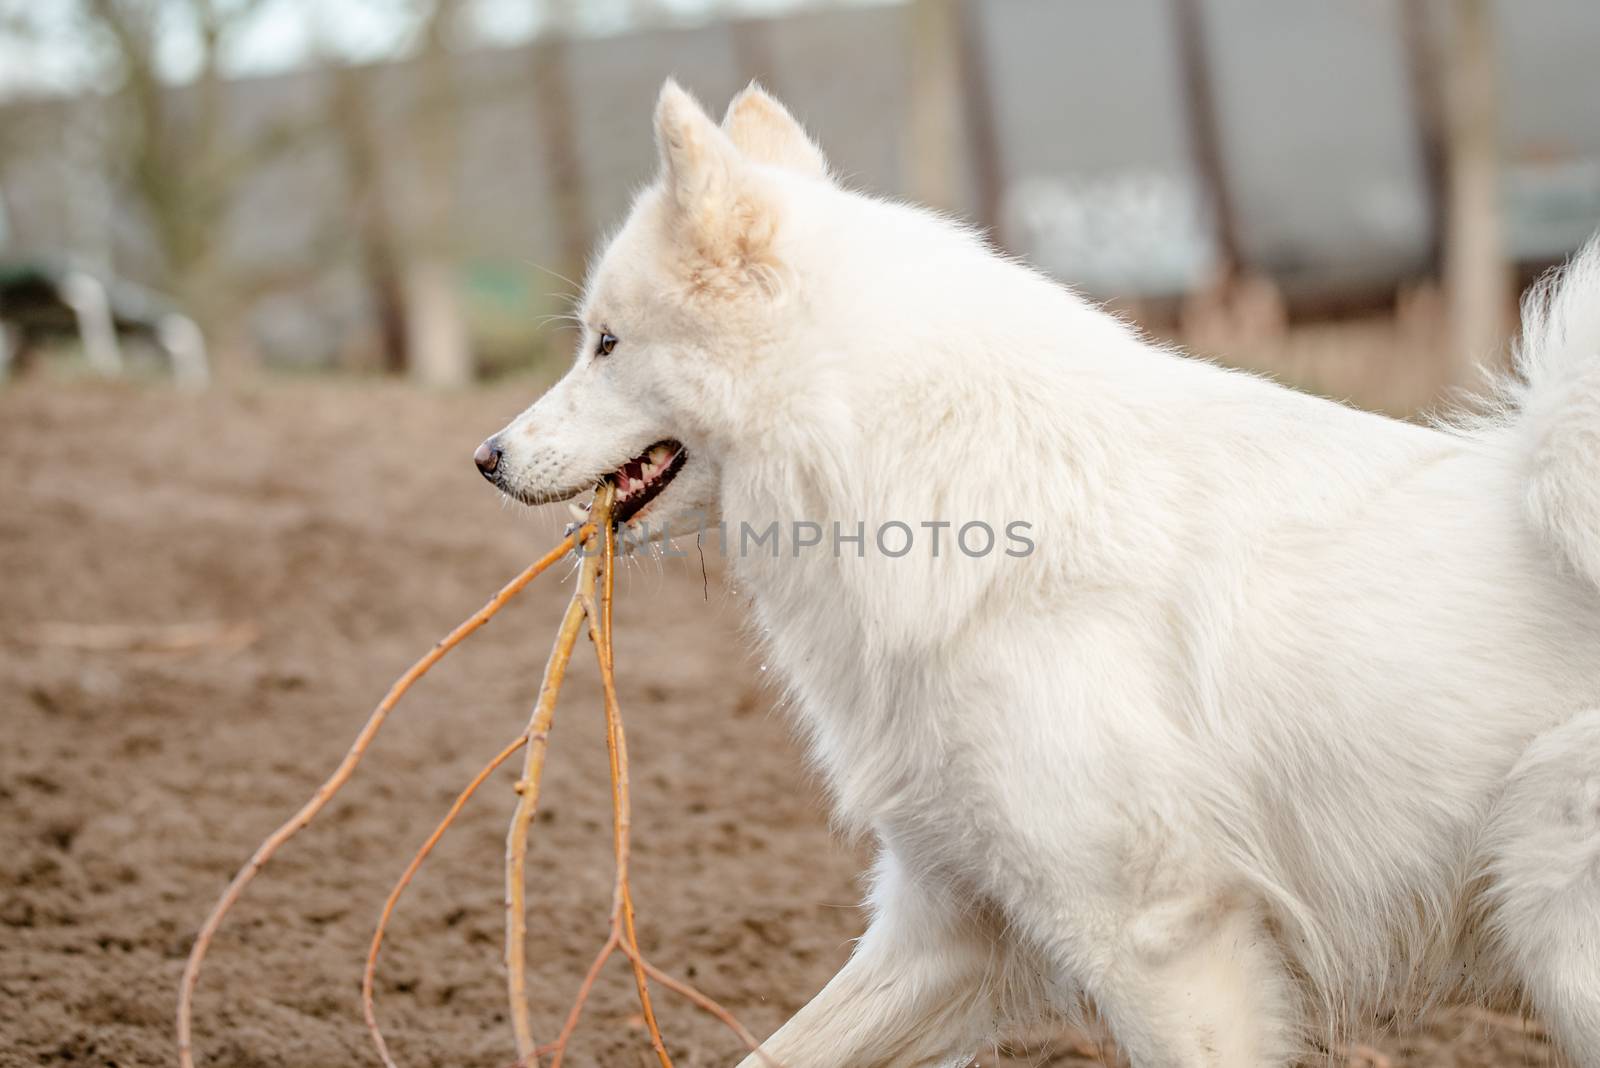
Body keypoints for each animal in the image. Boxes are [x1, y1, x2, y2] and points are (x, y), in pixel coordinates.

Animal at [473, 85, 1600, 1068]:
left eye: (606, 344)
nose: (484, 456)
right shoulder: (948, 925)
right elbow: (777, 1052)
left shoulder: (1160, 937)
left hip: (1554, 926)